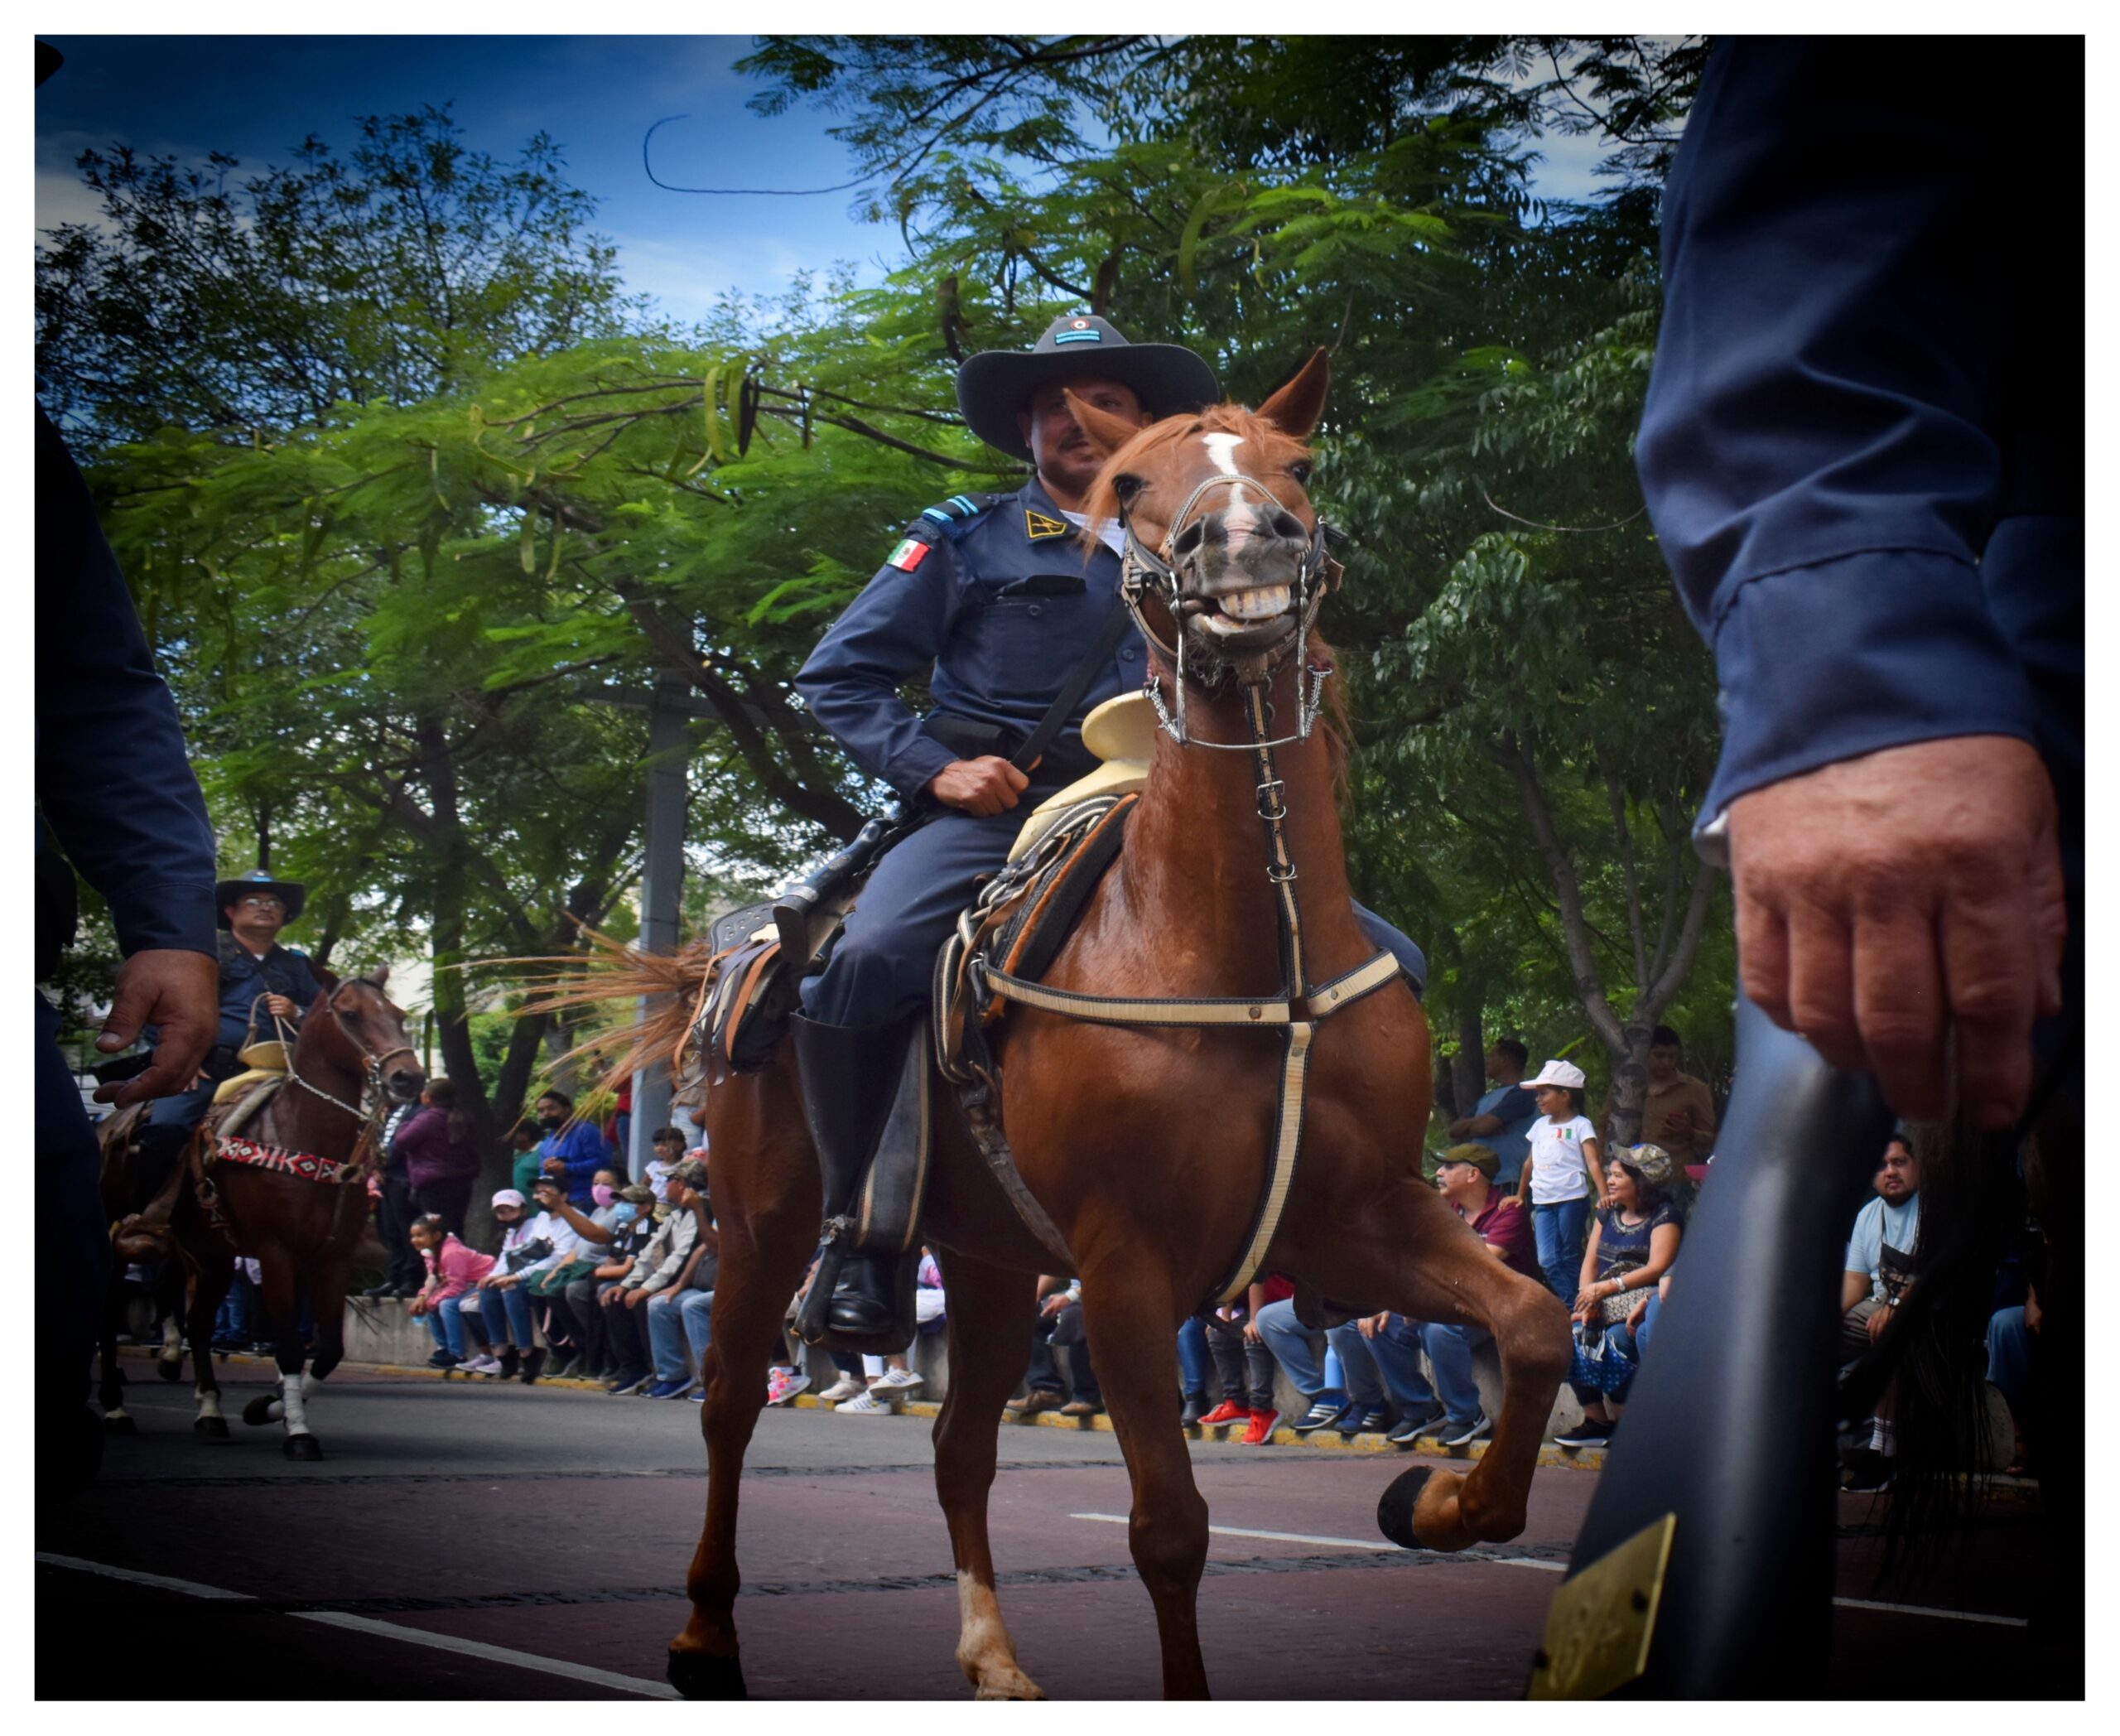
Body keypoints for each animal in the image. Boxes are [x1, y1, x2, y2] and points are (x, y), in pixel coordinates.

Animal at [146, 979, 426, 1449]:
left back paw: (207, 1405)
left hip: (211, 1253)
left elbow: (328, 1349)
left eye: (400, 1015)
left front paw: (267, 1407)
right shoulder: (276, 1253)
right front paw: (297, 1432)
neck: (306, 1137)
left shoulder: (332, 1258)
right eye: (350, 1015)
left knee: (197, 1321)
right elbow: (291, 1347)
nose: (408, 1077)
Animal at [585, 354, 1577, 1695]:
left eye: (1298, 465)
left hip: (994, 1257)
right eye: (1135, 481)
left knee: (959, 1443)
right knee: (731, 1396)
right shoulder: (1124, 1265)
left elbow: (1536, 1325)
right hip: (764, 1220)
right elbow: (1168, 1527)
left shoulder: (1363, 1218)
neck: (1242, 947)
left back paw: (994, 1657)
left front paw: (1438, 1504)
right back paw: (704, 1631)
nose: (1244, 542)